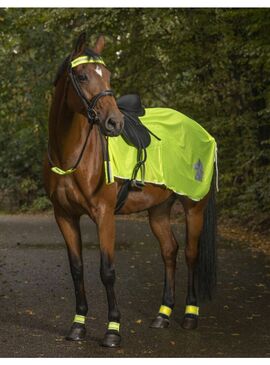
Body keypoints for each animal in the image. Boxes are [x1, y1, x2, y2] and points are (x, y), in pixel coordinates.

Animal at [44, 33, 217, 346]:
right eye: (83, 75)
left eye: (108, 74)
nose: (114, 123)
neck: (70, 155)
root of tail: (203, 132)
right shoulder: (64, 216)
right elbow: (77, 270)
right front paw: (78, 326)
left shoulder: (104, 215)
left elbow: (107, 271)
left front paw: (113, 329)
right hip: (159, 210)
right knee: (169, 251)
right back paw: (162, 315)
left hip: (194, 206)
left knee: (190, 254)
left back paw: (190, 315)